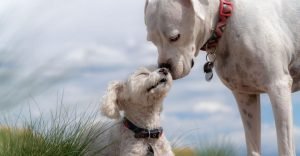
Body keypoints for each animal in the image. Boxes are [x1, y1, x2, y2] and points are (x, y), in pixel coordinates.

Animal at [145, 0, 300, 155]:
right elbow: (253, 146)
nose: (164, 67)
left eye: (175, 37)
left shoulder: (278, 88)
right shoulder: (245, 97)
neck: (225, 20)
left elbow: (285, 147)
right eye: (152, 41)